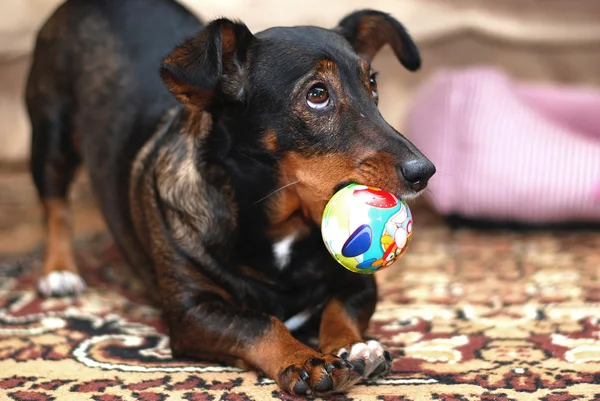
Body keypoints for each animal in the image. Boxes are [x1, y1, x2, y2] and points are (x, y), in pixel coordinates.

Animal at [25, 0, 436, 394]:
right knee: (55, 207)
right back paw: (59, 271)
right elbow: (259, 323)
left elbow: (340, 310)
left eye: (373, 85)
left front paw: (356, 346)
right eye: (317, 94)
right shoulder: (194, 313)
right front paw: (304, 358)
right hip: (50, 137)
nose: (425, 172)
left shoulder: (359, 285)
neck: (284, 226)